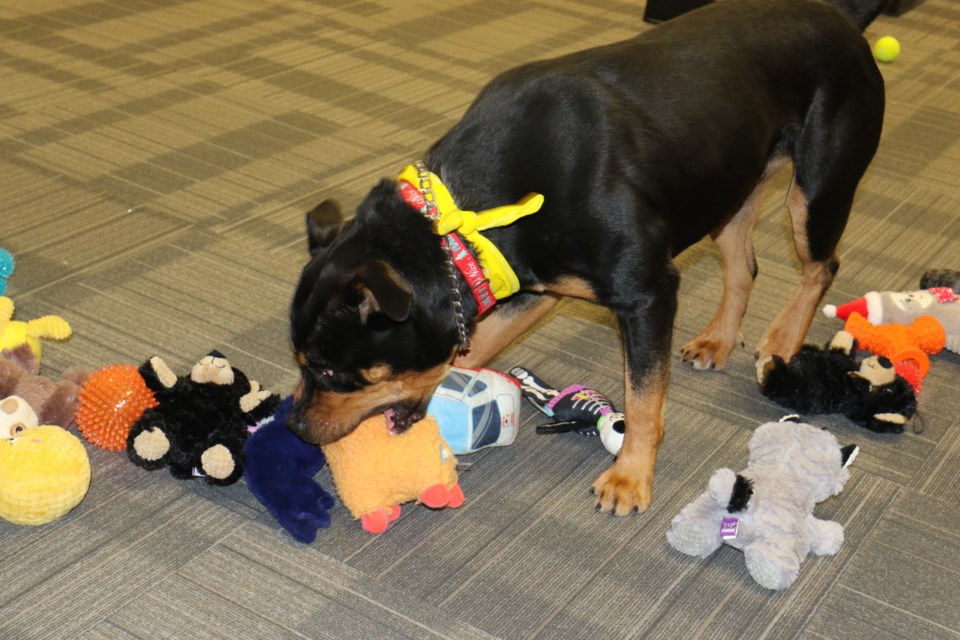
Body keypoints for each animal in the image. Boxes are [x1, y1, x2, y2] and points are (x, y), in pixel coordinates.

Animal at [290, 0, 884, 516]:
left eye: (327, 369)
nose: (295, 428)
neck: (466, 218)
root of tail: (839, 15)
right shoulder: (533, 285)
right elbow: (473, 348)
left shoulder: (647, 293)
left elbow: (642, 400)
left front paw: (630, 476)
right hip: (730, 189)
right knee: (745, 264)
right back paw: (719, 339)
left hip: (817, 191)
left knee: (822, 266)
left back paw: (782, 341)